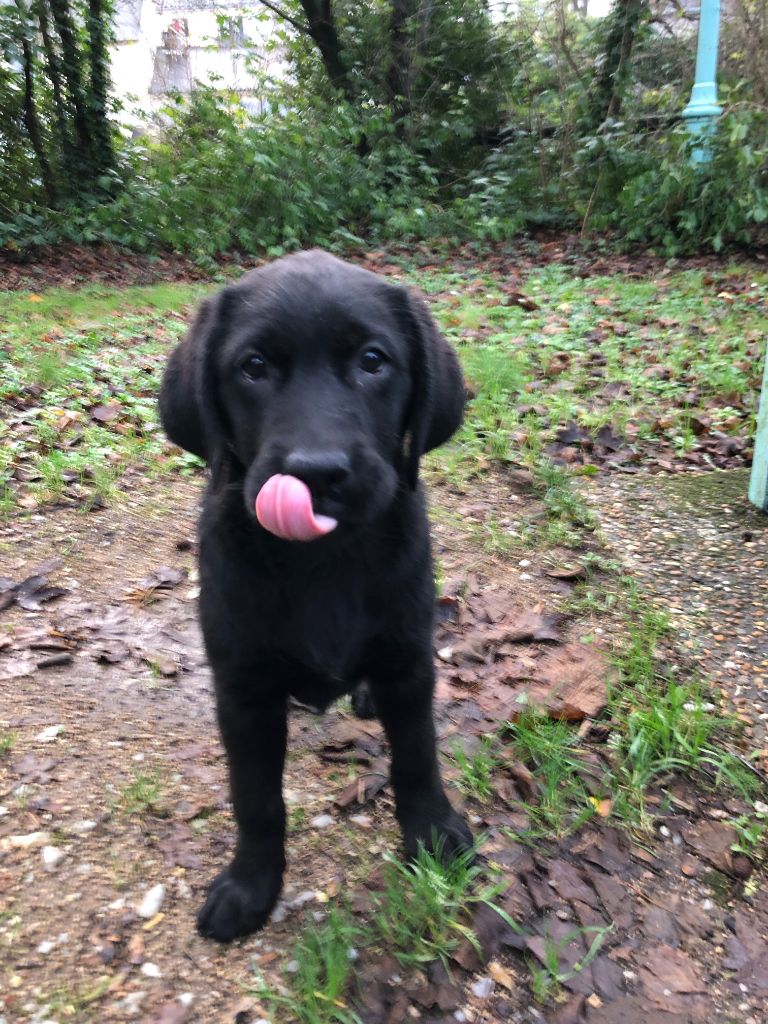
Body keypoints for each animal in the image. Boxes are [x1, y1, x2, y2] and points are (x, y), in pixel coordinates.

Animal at [159, 251, 473, 937]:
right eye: (253, 367)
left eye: (373, 361)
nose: (317, 472)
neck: (323, 560)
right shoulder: (243, 690)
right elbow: (256, 799)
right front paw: (251, 886)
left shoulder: (408, 663)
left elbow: (417, 756)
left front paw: (434, 833)